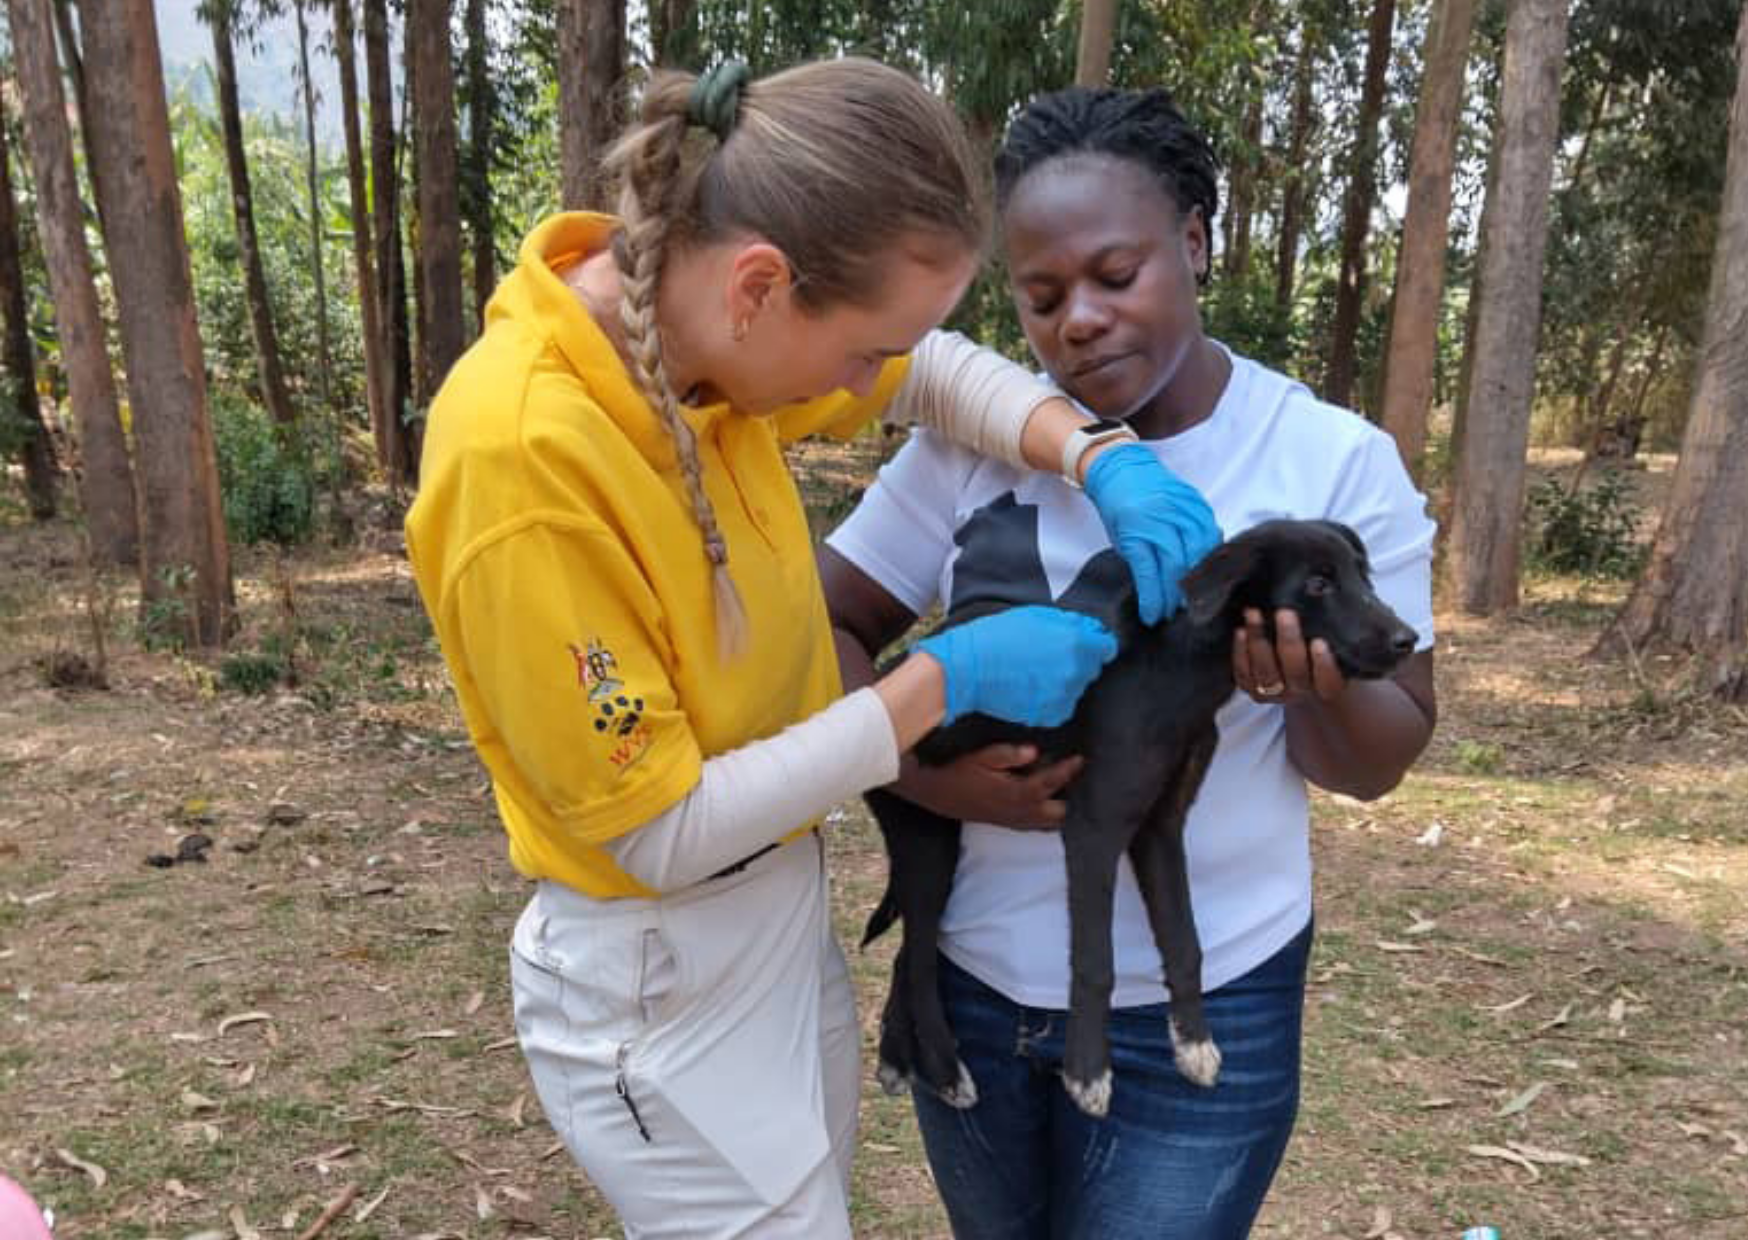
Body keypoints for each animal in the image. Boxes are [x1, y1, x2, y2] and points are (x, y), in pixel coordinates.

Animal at [860, 514, 1419, 1112]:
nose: (1407, 639)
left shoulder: (1161, 826)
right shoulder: (1094, 827)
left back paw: (898, 1058)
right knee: (921, 962)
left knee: (909, 953)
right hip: (923, 831)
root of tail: (877, 681)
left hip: (940, 833)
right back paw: (945, 1071)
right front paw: (1087, 1072)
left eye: (1363, 576)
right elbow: (1095, 962)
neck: (1181, 669)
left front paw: (1193, 1042)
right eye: (1317, 585)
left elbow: (1184, 940)